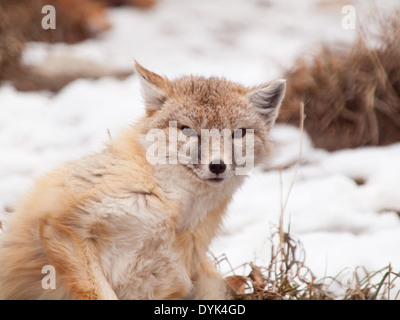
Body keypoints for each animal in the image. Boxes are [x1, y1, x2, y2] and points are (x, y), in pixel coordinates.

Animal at [0, 62, 288, 300]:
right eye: (188, 130)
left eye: (238, 133)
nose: (217, 165)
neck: (172, 208)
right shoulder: (62, 224)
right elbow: (101, 293)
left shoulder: (165, 281)